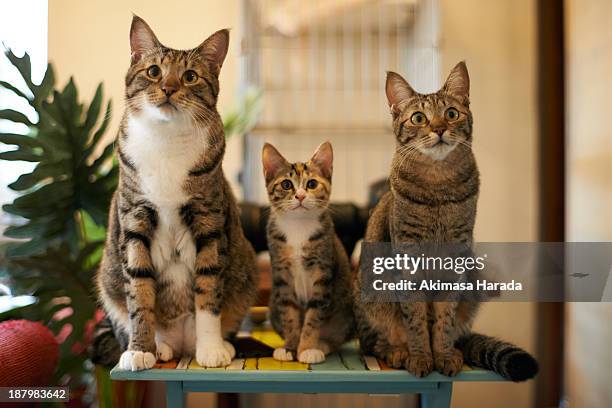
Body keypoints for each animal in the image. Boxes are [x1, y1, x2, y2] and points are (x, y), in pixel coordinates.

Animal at [96, 15, 258, 372]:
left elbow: (208, 289)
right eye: (154, 71)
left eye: (190, 76)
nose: (169, 88)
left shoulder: (208, 220)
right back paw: (160, 347)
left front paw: (211, 349)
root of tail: (182, 343)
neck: (166, 141)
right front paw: (140, 350)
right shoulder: (135, 220)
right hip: (106, 280)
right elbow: (140, 293)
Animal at [262, 143, 354, 364]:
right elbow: (289, 314)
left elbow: (314, 316)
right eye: (286, 184)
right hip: (273, 305)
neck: (298, 226)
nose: (301, 196)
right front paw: (290, 347)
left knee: (338, 337)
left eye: (312, 184)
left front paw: (306, 348)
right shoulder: (282, 274)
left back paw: (322, 345)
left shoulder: (323, 272)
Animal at [352, 62, 536, 380]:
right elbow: (415, 319)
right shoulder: (408, 258)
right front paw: (420, 356)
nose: (438, 128)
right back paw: (396, 351)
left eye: (451, 113)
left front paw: (443, 355)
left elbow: (443, 319)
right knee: (371, 341)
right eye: (418, 118)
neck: (438, 185)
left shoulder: (455, 260)